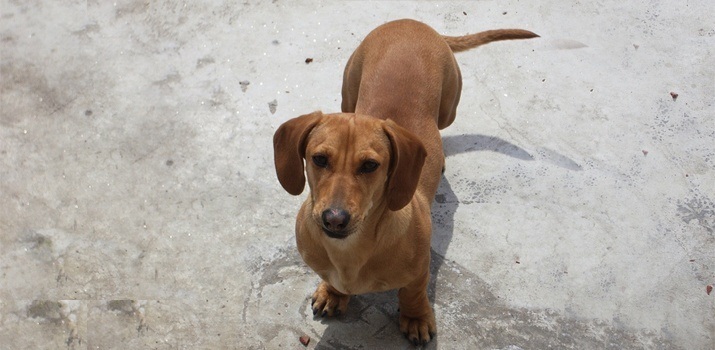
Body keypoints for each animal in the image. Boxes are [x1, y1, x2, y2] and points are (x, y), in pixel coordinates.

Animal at [274, 18, 536, 344]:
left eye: (370, 165)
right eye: (319, 159)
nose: (334, 219)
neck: (350, 251)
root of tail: (412, 23)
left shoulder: (420, 270)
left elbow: (412, 293)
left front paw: (416, 318)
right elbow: (330, 280)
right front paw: (333, 293)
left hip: (449, 108)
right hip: (348, 91)